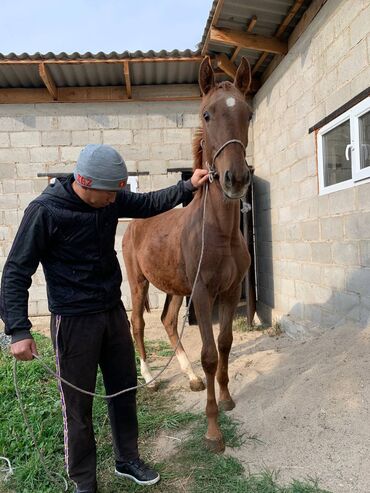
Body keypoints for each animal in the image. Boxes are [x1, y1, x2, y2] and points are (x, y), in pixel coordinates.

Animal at [123, 56, 253, 450]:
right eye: (207, 114)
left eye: (248, 114)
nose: (235, 179)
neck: (219, 232)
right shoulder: (203, 293)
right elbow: (209, 354)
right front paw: (213, 430)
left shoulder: (229, 292)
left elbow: (225, 344)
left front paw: (226, 398)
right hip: (139, 283)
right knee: (138, 324)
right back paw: (150, 377)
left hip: (175, 289)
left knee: (168, 321)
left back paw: (190, 377)